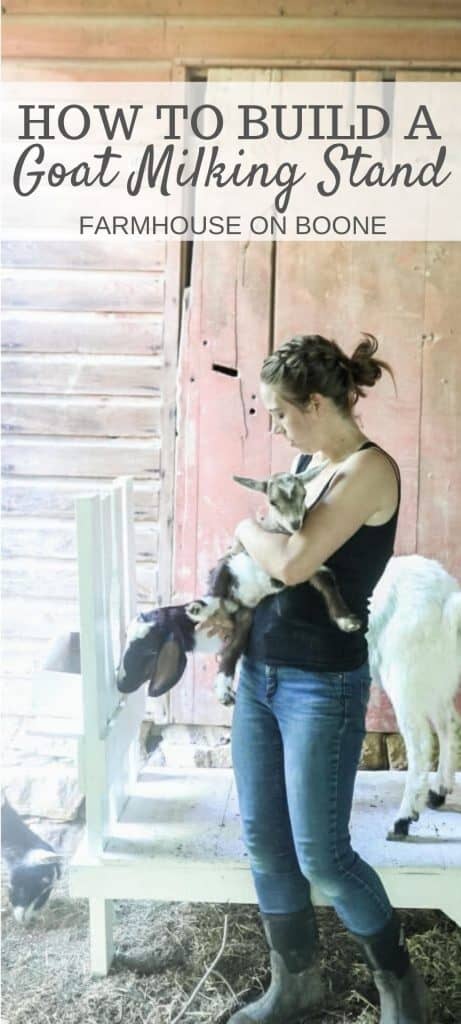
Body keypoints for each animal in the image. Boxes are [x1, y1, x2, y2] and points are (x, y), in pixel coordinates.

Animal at [116, 462, 360, 704]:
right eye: (272, 501)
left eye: (304, 495)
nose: (295, 523)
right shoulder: (231, 560)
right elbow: (215, 589)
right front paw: (200, 608)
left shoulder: (294, 572)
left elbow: (326, 579)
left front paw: (346, 620)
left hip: (246, 618)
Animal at [366, 561, 461, 839]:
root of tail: (448, 598)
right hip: (434, 675)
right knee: (449, 723)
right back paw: (439, 791)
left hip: (405, 676)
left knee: (420, 743)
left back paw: (403, 819)